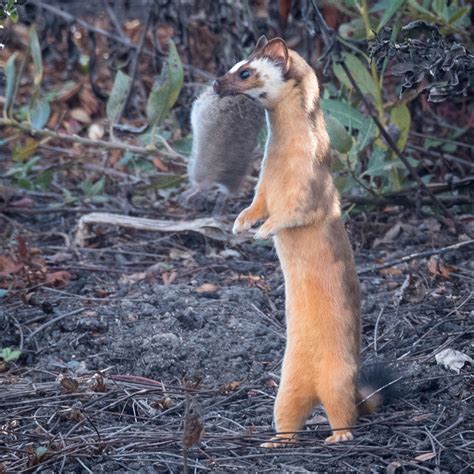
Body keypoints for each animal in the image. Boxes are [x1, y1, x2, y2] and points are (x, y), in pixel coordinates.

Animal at [215, 36, 386, 444]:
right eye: (232, 65)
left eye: (245, 72)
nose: (215, 84)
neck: (280, 166)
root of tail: (315, 389)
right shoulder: (262, 186)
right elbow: (256, 205)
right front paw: (241, 224)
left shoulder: (310, 189)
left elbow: (292, 214)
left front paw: (264, 231)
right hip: (286, 385)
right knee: (289, 413)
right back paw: (274, 440)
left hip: (340, 378)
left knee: (344, 412)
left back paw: (337, 436)